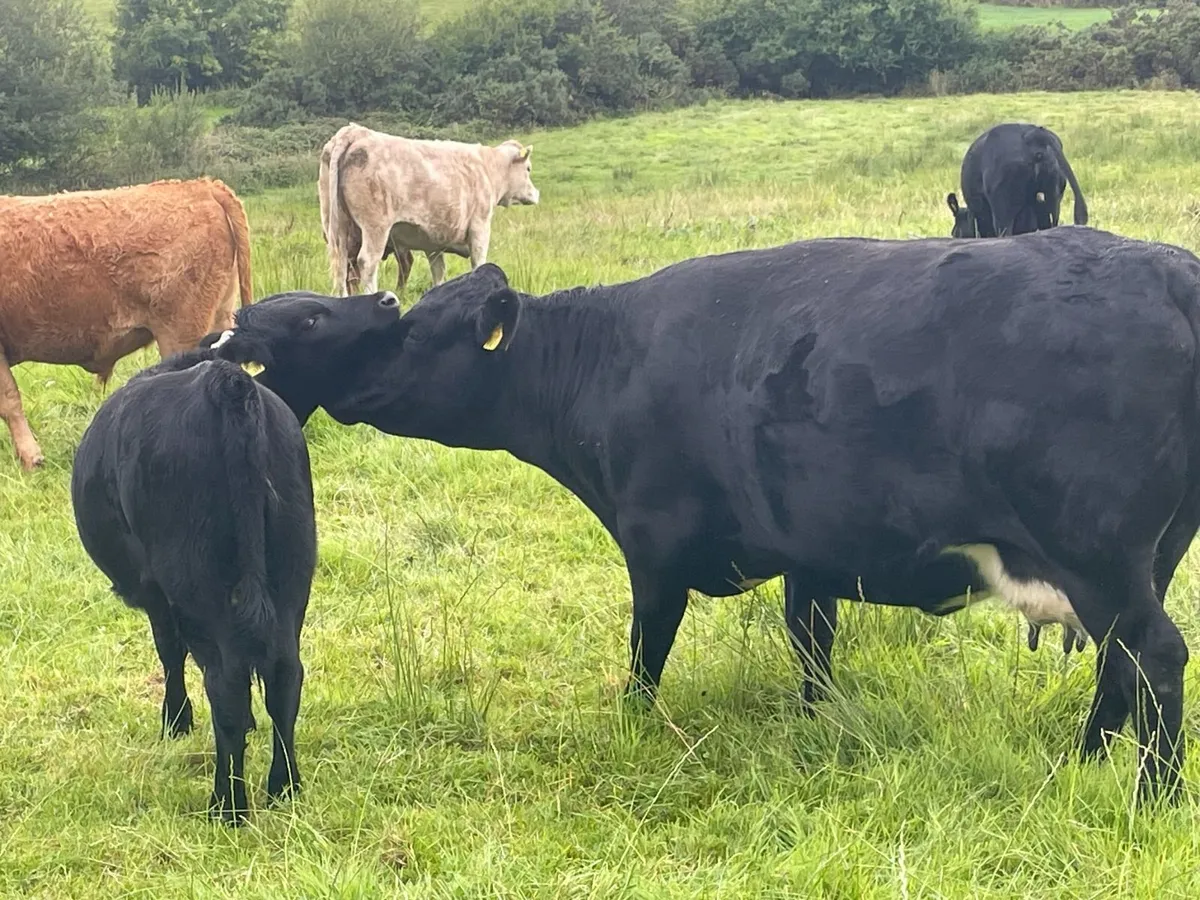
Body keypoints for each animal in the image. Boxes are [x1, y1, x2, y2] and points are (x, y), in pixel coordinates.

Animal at [71, 349, 318, 825]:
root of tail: (224, 382)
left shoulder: (156, 592)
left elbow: (169, 650)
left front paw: (176, 722)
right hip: (293, 576)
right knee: (283, 678)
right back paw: (285, 787)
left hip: (196, 587)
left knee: (225, 687)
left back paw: (228, 805)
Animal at [198, 227, 1198, 805]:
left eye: (417, 331)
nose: (353, 389)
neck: (607, 357)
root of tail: (1165, 266)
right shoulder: (809, 553)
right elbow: (811, 647)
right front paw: (818, 723)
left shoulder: (654, 548)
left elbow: (647, 653)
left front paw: (636, 726)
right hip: (1140, 558)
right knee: (1120, 669)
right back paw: (1081, 766)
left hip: (1097, 553)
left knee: (1153, 657)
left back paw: (1150, 797)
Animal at [318, 123, 540, 297]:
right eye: (528, 168)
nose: (536, 193)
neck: (487, 167)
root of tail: (355, 132)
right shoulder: (480, 227)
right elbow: (479, 263)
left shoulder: (434, 241)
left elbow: (438, 271)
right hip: (375, 228)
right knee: (367, 262)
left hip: (337, 228)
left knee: (343, 266)